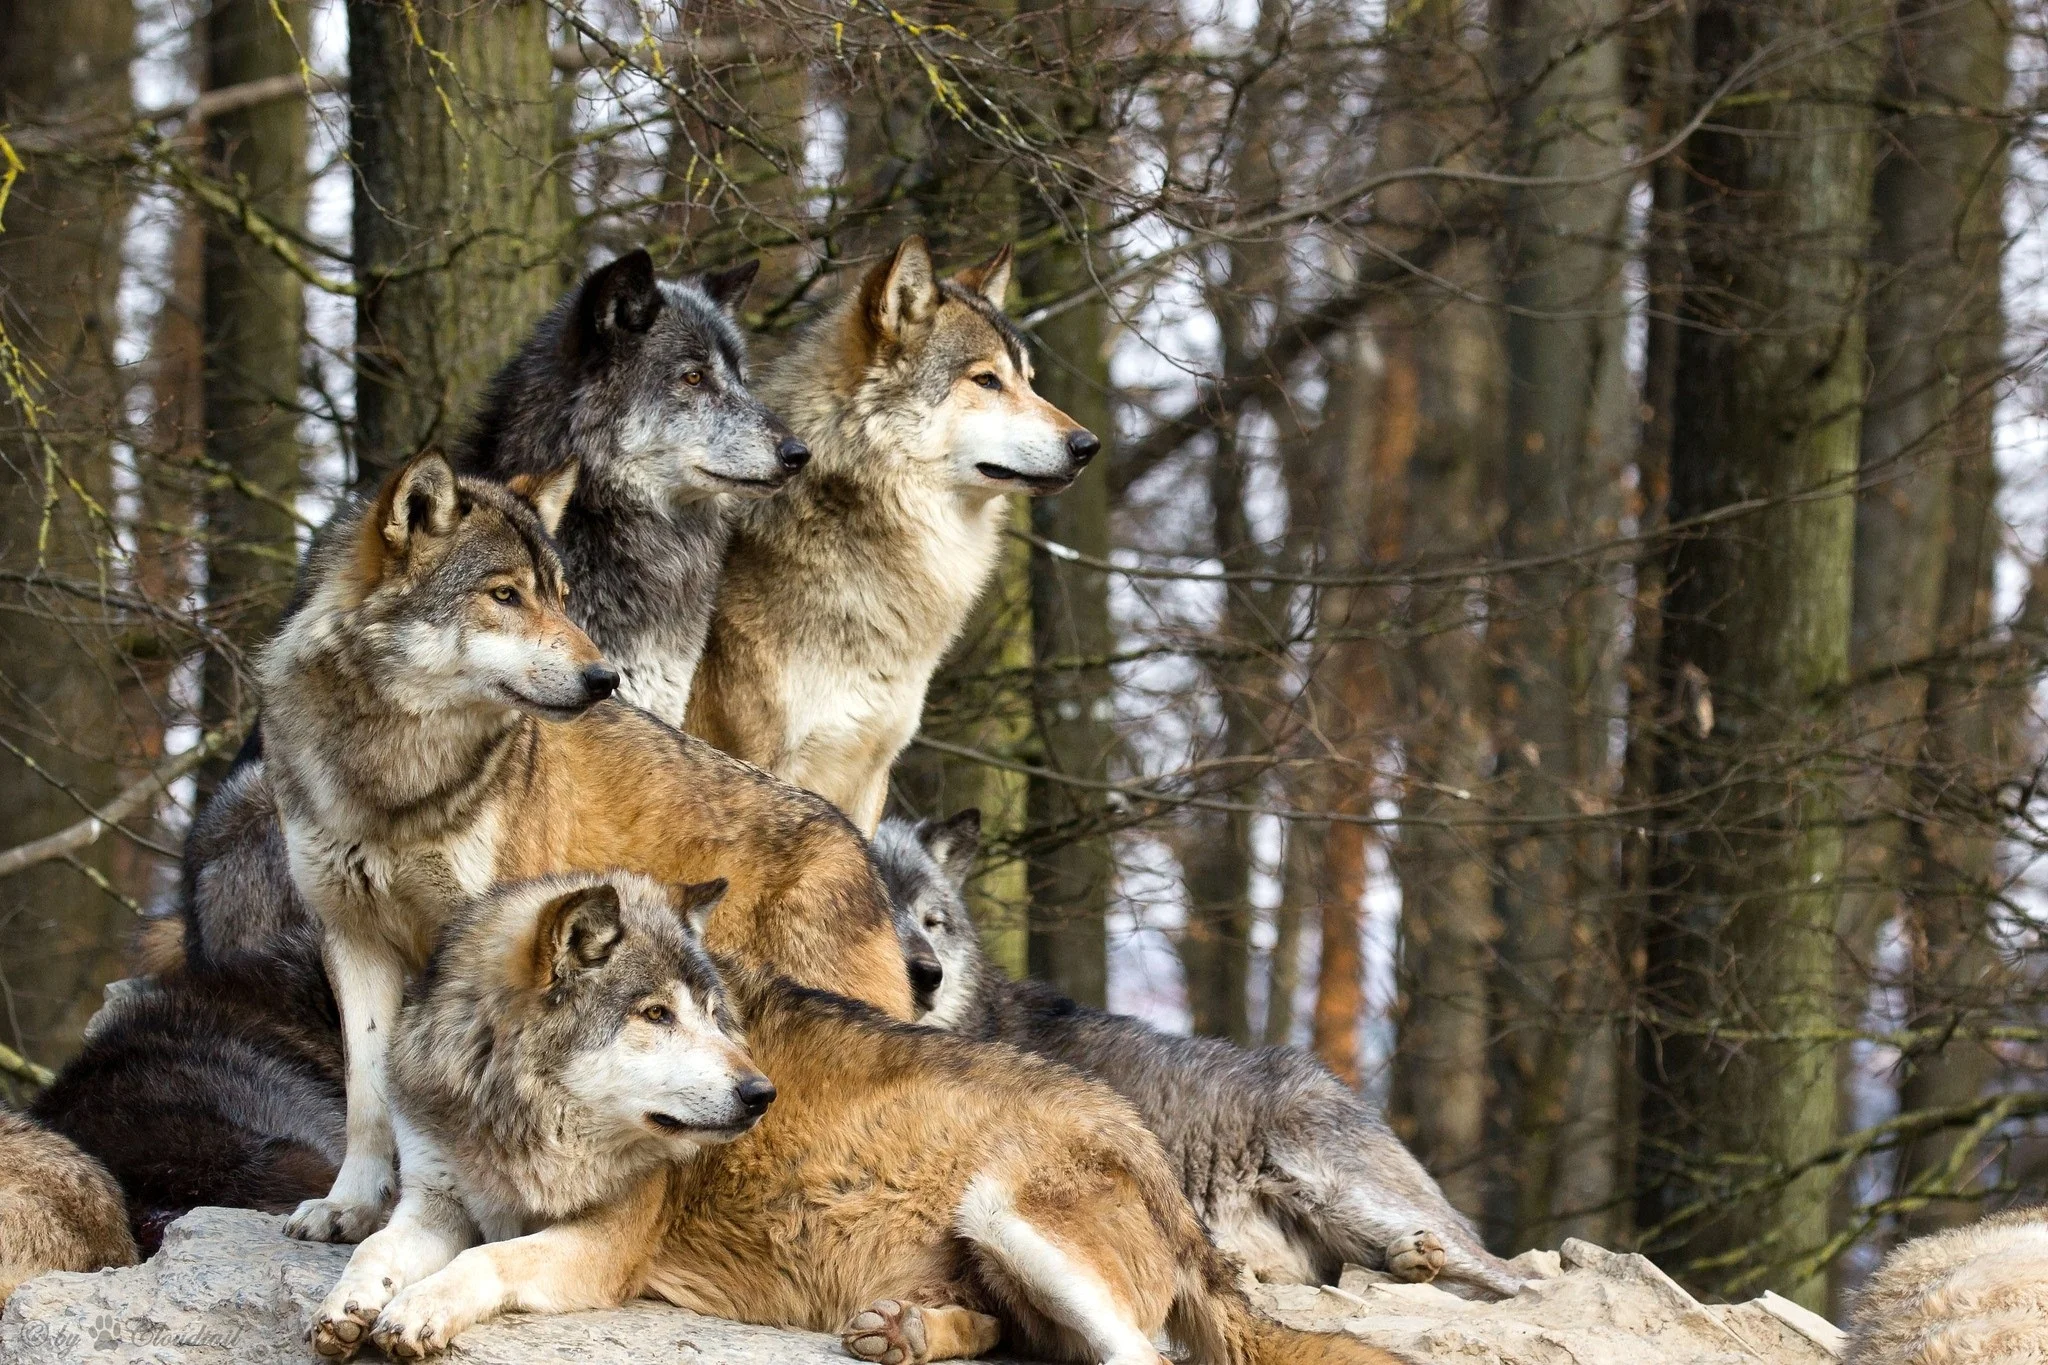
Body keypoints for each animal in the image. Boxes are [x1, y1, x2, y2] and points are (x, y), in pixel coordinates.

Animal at [259, 452, 913, 1244]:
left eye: (562, 597)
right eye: (505, 595)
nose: (605, 678)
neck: (396, 779)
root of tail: (859, 845)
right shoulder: (352, 938)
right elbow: (367, 1094)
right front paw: (349, 1206)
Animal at [308, 871, 1407, 1365]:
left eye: (715, 1015)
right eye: (655, 1016)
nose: (759, 1096)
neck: (514, 1117)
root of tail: (1154, 1156)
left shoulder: (602, 1248)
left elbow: (486, 1262)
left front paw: (415, 1314)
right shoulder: (435, 1198)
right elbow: (376, 1251)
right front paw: (350, 1306)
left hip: (1008, 1212)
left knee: (1135, 1359)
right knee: (1023, 1343)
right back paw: (905, 1331)